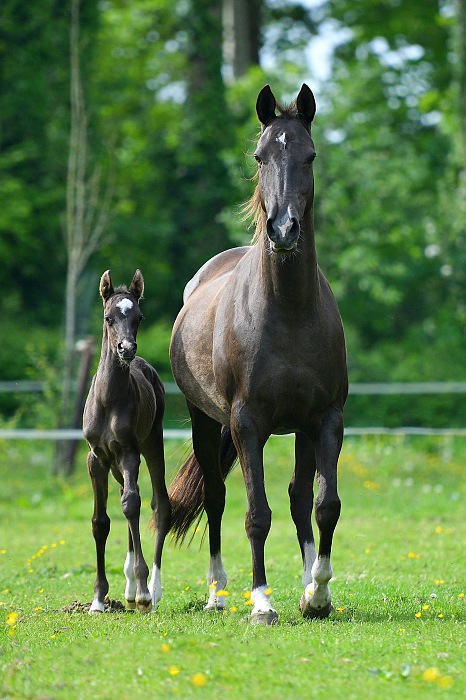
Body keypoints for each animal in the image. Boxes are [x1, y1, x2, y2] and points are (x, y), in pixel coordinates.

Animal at [83, 269, 171, 613]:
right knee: (124, 496)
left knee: (160, 506)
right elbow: (100, 521)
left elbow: (133, 506)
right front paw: (98, 599)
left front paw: (144, 592)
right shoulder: (97, 458)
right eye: (108, 317)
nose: (126, 349)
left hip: (153, 443)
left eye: (139, 317)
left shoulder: (130, 452)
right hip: (116, 465)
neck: (109, 400)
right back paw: (131, 590)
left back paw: (151, 591)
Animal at [168, 84, 348, 625]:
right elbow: (256, 513)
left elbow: (323, 504)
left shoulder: (325, 419)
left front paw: (317, 593)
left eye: (310, 156)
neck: (289, 311)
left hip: (299, 429)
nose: (284, 230)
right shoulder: (246, 423)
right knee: (216, 496)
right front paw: (263, 601)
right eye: (260, 156)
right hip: (206, 422)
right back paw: (218, 593)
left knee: (298, 499)